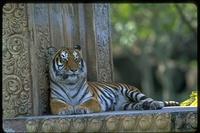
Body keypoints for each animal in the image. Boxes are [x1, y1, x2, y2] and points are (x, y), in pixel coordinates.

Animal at [47, 45, 179, 115]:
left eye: (77, 59)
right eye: (64, 60)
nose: (74, 69)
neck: (70, 83)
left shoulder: (92, 99)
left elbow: (86, 104)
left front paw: (79, 108)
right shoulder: (55, 99)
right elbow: (59, 105)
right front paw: (66, 109)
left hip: (131, 92)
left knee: (151, 99)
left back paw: (154, 104)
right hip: (125, 105)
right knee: (136, 104)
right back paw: (143, 106)